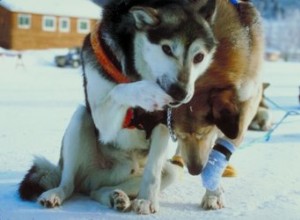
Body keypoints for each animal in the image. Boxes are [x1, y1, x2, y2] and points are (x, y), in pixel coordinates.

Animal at [19, 0, 220, 214]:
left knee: (98, 190)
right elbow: (119, 90)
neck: (136, 68)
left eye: (199, 57)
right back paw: (56, 193)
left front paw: (146, 200)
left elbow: (153, 172)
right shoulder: (103, 117)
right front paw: (146, 91)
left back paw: (115, 196)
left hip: (168, 170)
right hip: (80, 122)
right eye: (166, 49)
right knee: (69, 183)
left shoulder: (162, 124)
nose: (181, 93)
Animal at [170, 0, 264, 210]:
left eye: (204, 132)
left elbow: (228, 140)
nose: (195, 170)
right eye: (178, 134)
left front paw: (213, 191)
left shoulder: (248, 99)